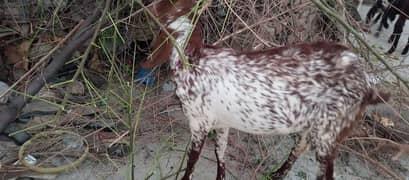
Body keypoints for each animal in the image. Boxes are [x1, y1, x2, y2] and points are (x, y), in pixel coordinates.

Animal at [144, 0, 388, 180]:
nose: (149, 6)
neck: (191, 60)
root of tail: (366, 84)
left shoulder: (198, 123)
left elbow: (192, 164)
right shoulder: (222, 123)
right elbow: (220, 154)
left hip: (330, 133)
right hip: (315, 128)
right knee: (298, 149)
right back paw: (277, 174)